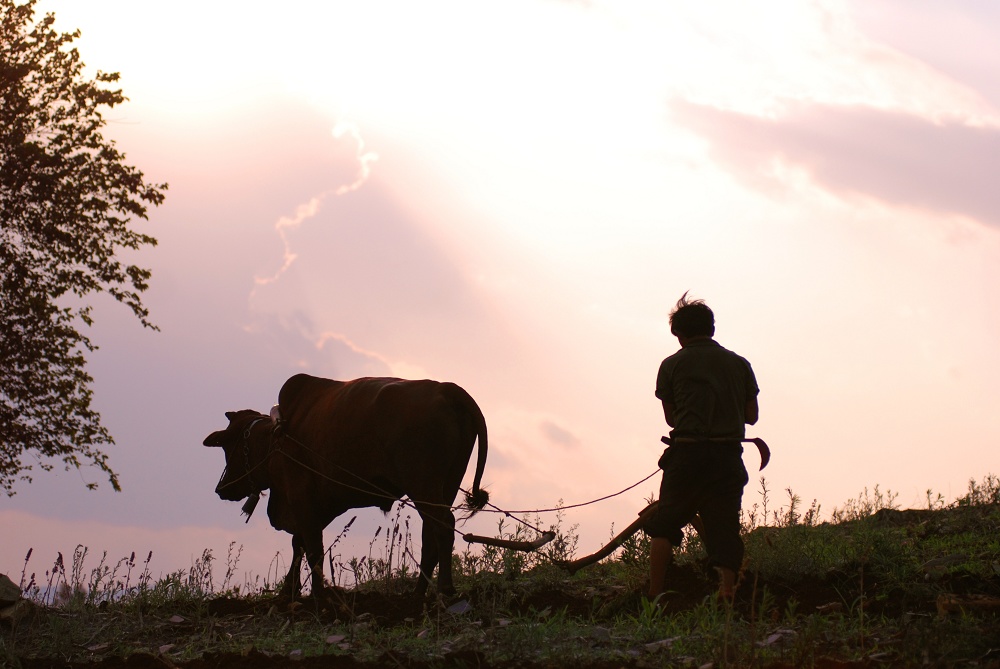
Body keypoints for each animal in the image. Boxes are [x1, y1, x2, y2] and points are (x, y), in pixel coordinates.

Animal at [202, 374, 488, 596]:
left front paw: (317, 595)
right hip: (445, 487)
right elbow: (300, 543)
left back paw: (444, 590)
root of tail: (446, 388)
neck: (276, 437)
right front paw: (289, 591)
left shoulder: (301, 496)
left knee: (443, 527)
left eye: (228, 445)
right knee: (431, 535)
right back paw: (417, 594)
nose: (221, 488)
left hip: (423, 485)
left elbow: (312, 547)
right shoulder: (322, 503)